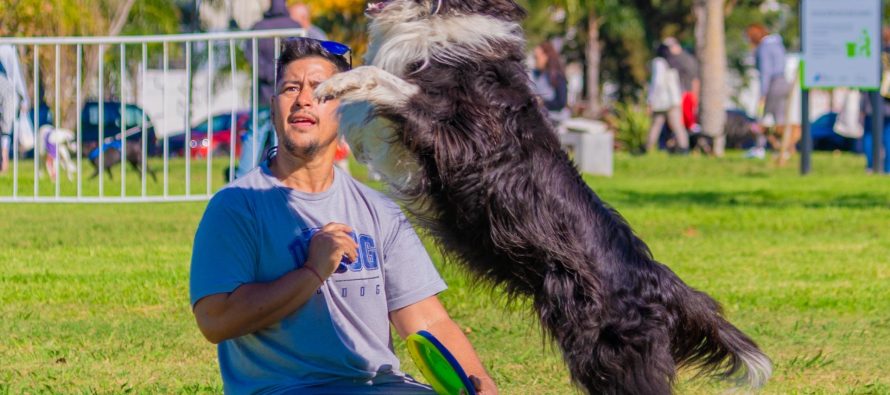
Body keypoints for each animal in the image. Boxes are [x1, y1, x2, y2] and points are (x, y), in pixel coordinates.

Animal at [314, 1, 772, 394]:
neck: (440, 15)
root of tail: (660, 280)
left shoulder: (457, 137)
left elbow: (383, 81)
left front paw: (334, 84)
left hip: (611, 354)